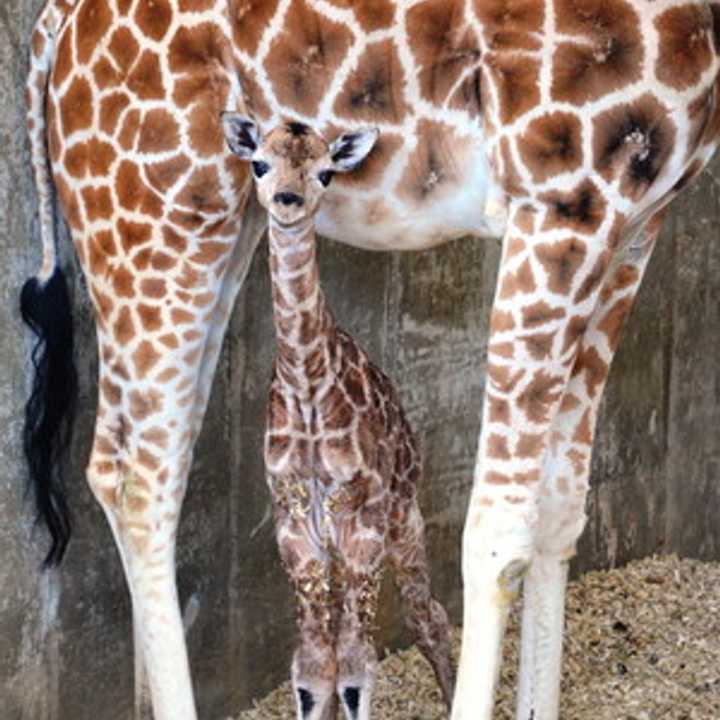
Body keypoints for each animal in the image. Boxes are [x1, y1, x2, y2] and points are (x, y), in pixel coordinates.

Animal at [222, 114, 452, 720]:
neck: (307, 383)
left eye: (326, 172)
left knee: (430, 617)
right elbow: (312, 669)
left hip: (403, 517)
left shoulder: (360, 522)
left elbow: (353, 670)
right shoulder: (294, 521)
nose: (288, 200)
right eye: (260, 163)